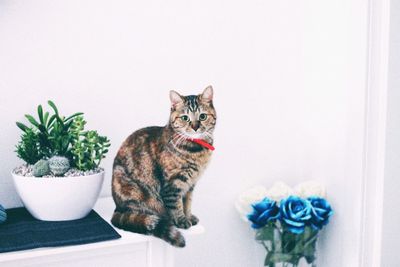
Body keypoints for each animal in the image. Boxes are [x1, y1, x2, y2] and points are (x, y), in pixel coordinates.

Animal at [111, 87, 217, 248]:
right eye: (185, 118)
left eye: (203, 116)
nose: (195, 127)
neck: (196, 150)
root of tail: (117, 208)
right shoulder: (173, 184)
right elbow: (176, 205)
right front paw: (182, 221)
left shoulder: (190, 184)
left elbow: (187, 202)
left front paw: (189, 216)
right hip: (136, 192)